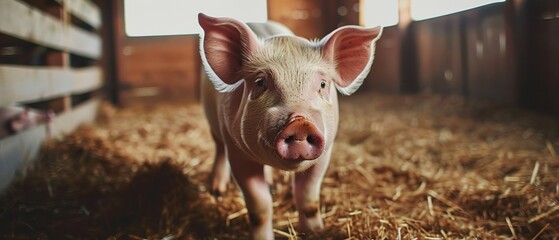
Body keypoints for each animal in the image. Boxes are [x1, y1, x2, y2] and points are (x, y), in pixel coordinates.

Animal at [199, 13, 382, 240]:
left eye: (322, 84)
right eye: (260, 82)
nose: (300, 122)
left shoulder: (325, 153)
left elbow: (308, 200)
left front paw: (315, 233)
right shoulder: (238, 153)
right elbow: (260, 207)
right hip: (213, 123)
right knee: (219, 149)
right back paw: (217, 190)